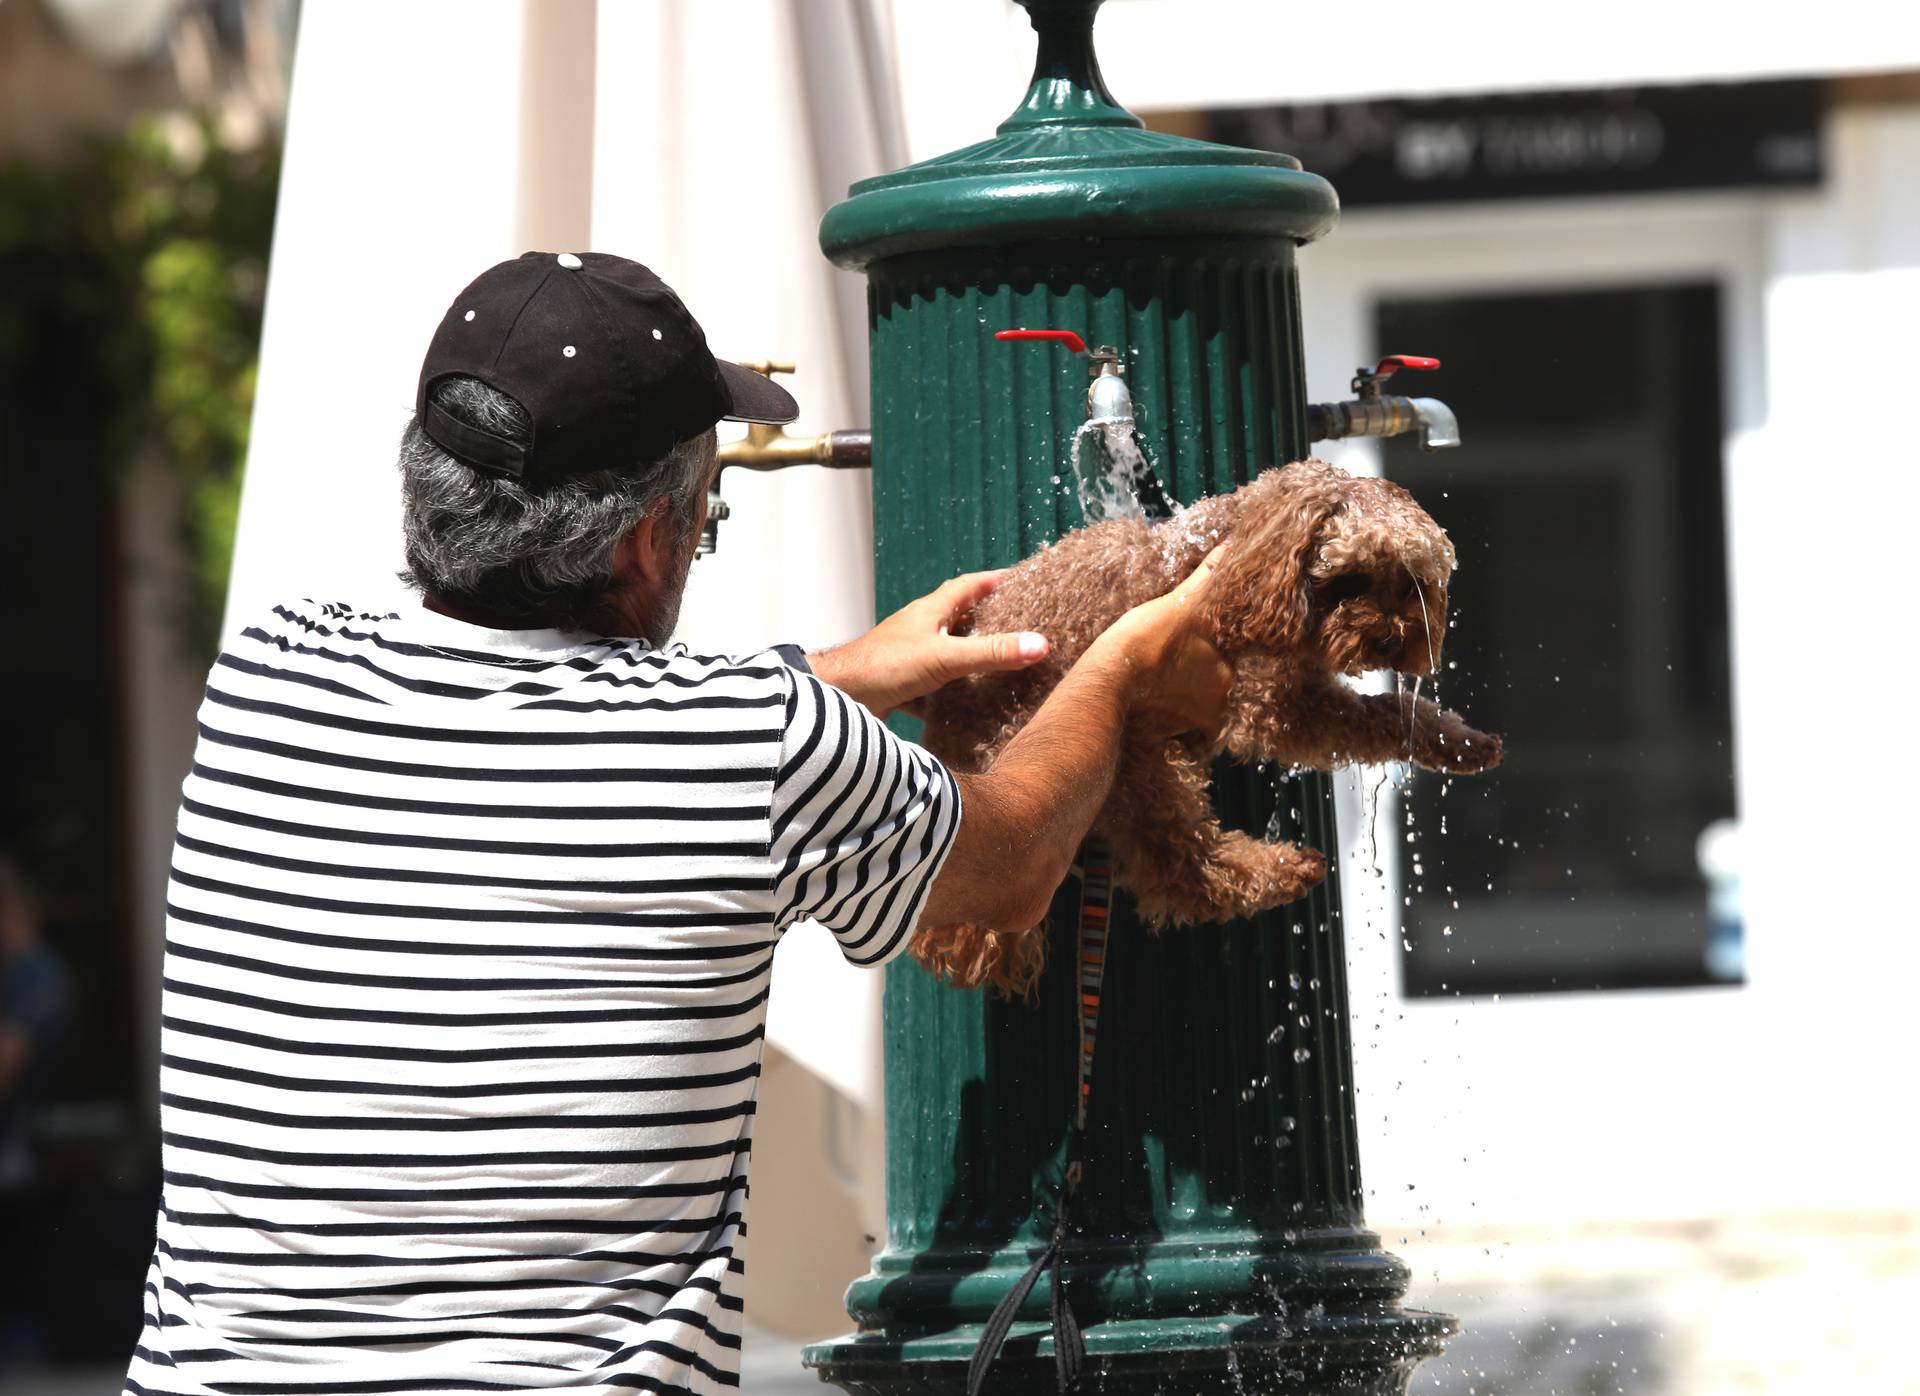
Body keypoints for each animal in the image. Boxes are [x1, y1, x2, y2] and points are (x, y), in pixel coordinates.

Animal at [910, 455, 1497, 990]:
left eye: (1413, 582)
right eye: (1350, 578)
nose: (1395, 641)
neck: (1257, 546)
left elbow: (1398, 711)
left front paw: (1461, 742)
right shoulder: (1269, 700)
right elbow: (1373, 718)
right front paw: (1445, 739)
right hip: (1125, 758)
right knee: (1183, 865)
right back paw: (1280, 870)